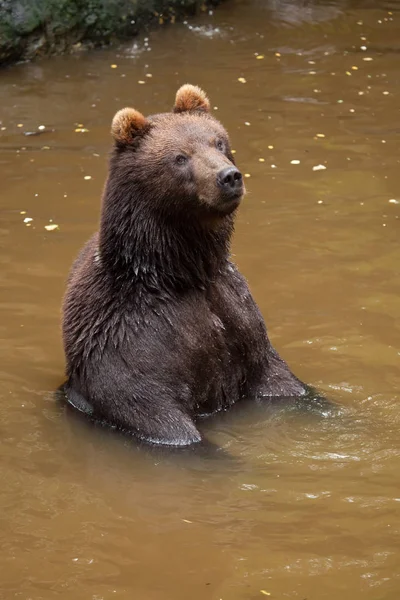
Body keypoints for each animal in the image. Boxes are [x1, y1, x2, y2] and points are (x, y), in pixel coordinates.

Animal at [61, 83, 306, 446]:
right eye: (180, 157)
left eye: (218, 142)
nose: (228, 177)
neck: (183, 272)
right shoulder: (130, 339)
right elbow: (157, 416)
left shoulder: (239, 317)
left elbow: (284, 382)